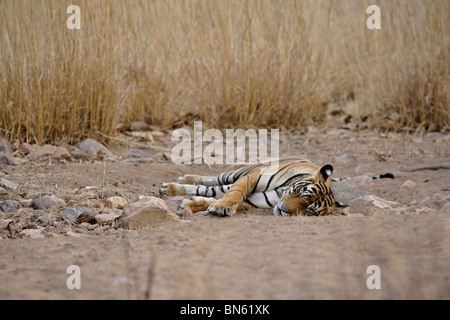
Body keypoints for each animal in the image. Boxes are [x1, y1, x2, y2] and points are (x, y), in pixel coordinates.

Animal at [158, 156, 352, 216]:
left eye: (309, 209)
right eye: (299, 191)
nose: (283, 209)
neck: (279, 194)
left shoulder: (254, 201)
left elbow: (236, 202)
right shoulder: (251, 178)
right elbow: (235, 194)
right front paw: (222, 208)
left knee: (208, 190)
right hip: (235, 174)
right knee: (212, 179)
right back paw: (178, 182)